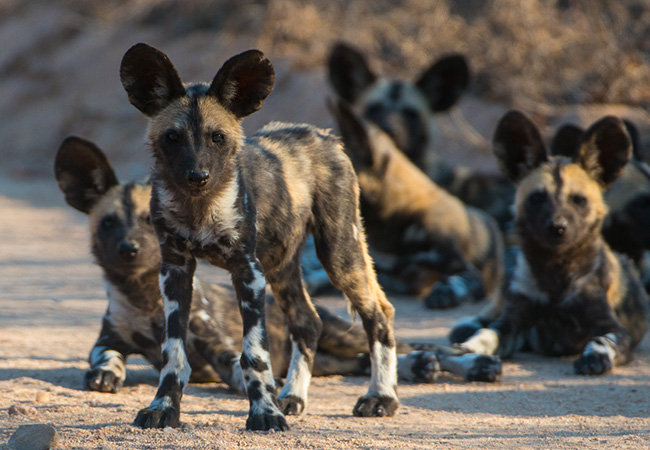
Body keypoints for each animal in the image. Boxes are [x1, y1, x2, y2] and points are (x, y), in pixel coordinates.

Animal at [55, 136, 502, 394]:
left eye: (148, 222)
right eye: (109, 222)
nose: (128, 250)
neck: (145, 299)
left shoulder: (216, 341)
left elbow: (236, 363)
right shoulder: (107, 340)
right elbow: (105, 357)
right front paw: (107, 374)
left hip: (342, 326)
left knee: (416, 343)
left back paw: (469, 364)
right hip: (331, 352)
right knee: (368, 358)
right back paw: (418, 369)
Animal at [119, 44, 398, 430]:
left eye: (217, 138)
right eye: (172, 137)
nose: (197, 176)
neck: (199, 207)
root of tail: (324, 134)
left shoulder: (247, 272)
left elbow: (254, 354)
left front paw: (264, 413)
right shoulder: (175, 269)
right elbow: (172, 352)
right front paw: (163, 408)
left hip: (339, 253)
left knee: (379, 314)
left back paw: (380, 397)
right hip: (281, 267)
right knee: (308, 322)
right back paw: (293, 396)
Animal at [454, 110, 644, 374]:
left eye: (578, 200)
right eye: (537, 198)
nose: (557, 227)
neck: (556, 270)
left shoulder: (614, 328)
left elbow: (603, 340)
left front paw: (595, 356)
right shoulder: (512, 323)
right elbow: (489, 332)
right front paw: (471, 348)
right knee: (487, 314)